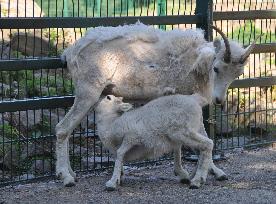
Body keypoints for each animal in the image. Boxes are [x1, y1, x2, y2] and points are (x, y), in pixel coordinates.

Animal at [56, 22, 260, 186]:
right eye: (216, 68)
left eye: (237, 74)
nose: (218, 100)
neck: (193, 63)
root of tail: (70, 53)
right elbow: (194, 136)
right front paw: (190, 173)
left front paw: (213, 172)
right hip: (87, 93)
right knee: (62, 129)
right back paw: (66, 177)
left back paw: (71, 173)